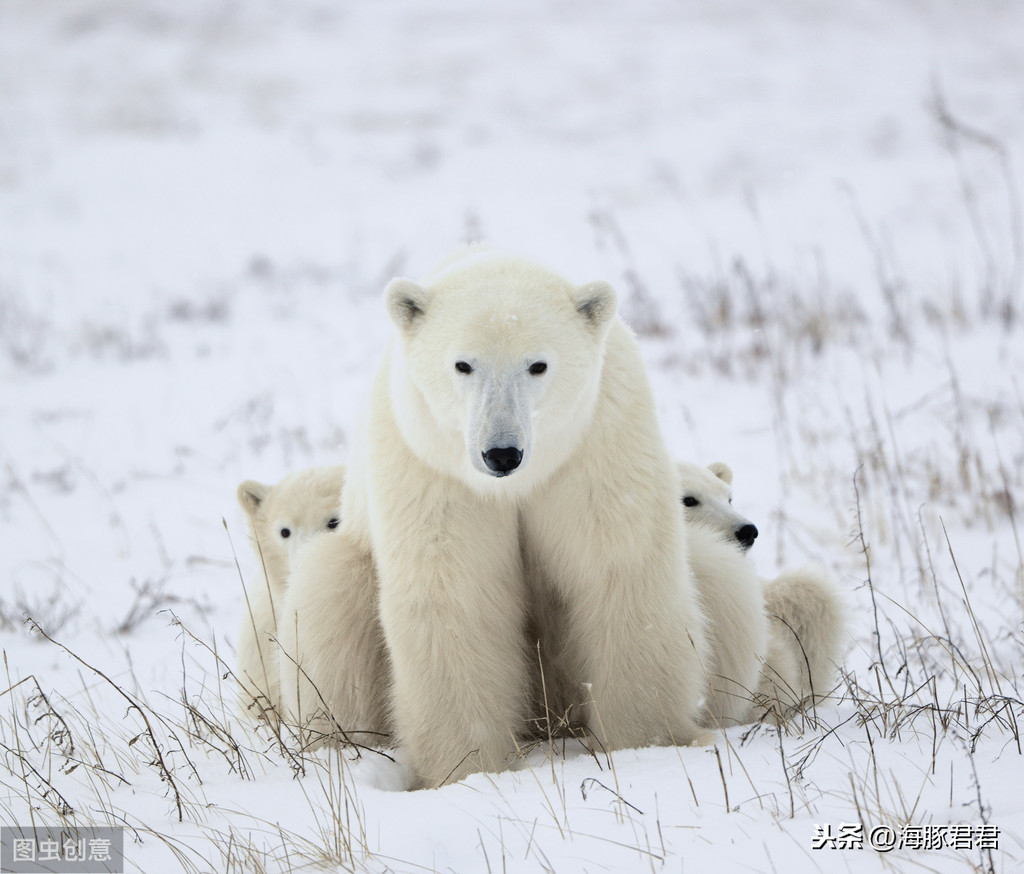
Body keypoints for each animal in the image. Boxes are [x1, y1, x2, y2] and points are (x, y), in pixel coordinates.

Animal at [280, 249, 712, 790]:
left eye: (538, 364)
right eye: (463, 364)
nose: (501, 453)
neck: (517, 483)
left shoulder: (596, 444)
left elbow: (617, 573)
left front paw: (644, 743)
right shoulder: (434, 468)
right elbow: (457, 597)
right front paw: (469, 768)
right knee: (329, 607)